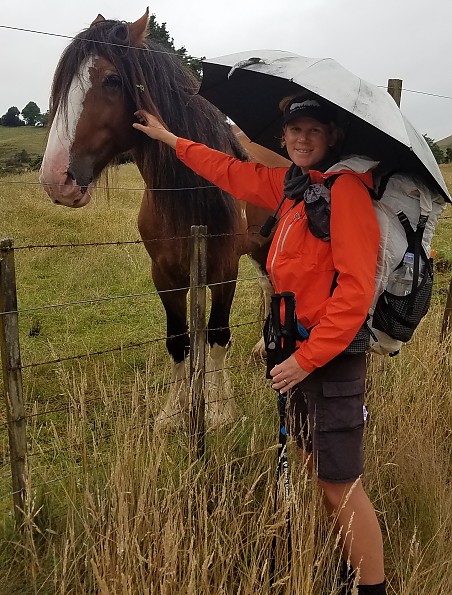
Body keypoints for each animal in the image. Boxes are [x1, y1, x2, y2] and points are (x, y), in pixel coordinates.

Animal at [40, 8, 288, 428]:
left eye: (112, 79)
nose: (56, 179)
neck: (184, 194)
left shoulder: (223, 270)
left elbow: (217, 335)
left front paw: (219, 410)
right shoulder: (165, 275)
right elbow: (178, 341)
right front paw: (173, 413)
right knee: (269, 288)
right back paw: (262, 348)